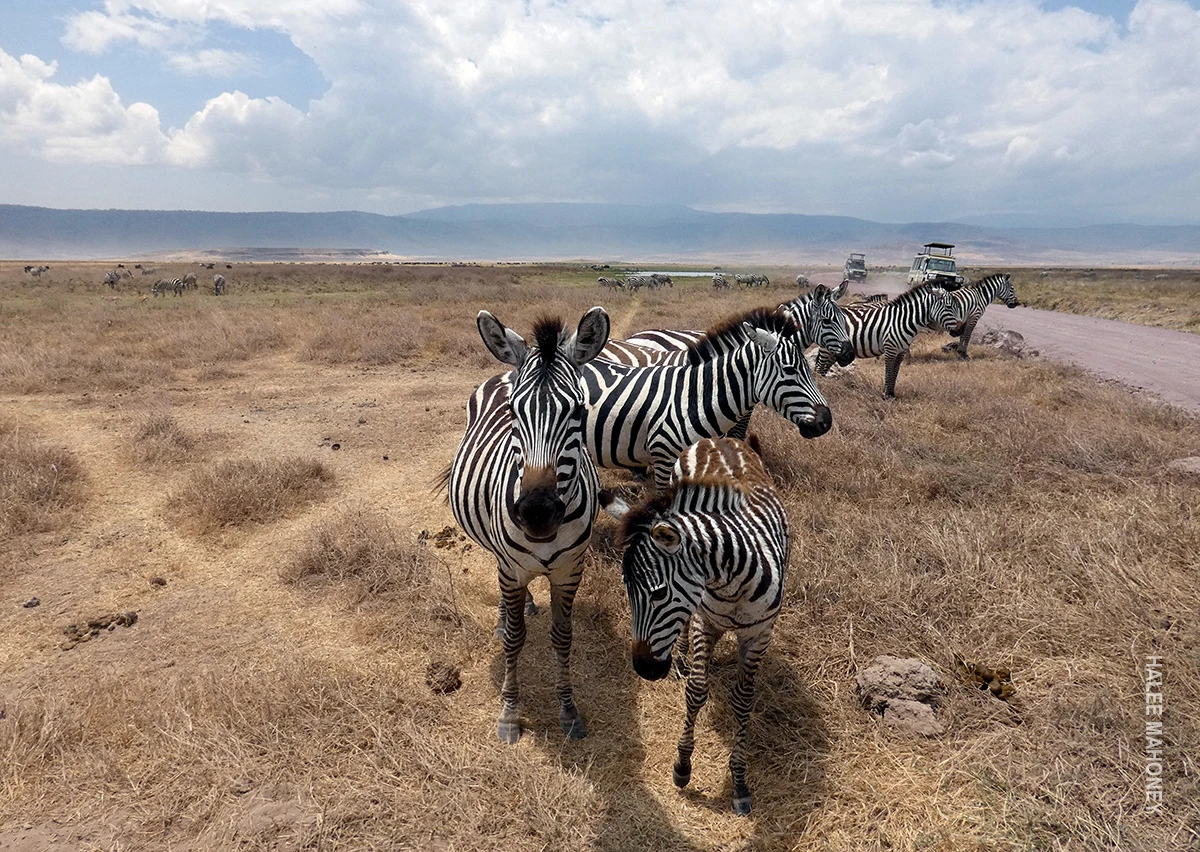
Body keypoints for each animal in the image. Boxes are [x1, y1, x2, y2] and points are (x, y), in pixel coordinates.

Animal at [445, 307, 611, 744]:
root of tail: (503, 371)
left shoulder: (570, 571)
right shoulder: (512, 569)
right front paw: (509, 714)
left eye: (578, 412)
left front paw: (568, 711)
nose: (537, 513)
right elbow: (516, 640)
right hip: (500, 557)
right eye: (513, 413)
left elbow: (563, 638)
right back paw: (505, 617)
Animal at [602, 436, 790, 815]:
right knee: (686, 628)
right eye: (627, 590)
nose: (643, 670)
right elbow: (697, 690)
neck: (732, 581)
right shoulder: (706, 621)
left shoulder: (759, 634)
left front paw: (739, 781)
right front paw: (683, 765)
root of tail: (723, 438)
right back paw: (681, 657)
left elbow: (744, 700)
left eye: (658, 593)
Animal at [814, 283, 961, 398]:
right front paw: (885, 395)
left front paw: (892, 394)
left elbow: (895, 372)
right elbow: (889, 372)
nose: (959, 330)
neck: (903, 321)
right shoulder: (890, 349)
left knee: (822, 369)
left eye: (957, 306)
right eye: (948, 307)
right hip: (826, 348)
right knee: (819, 368)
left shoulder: (901, 351)